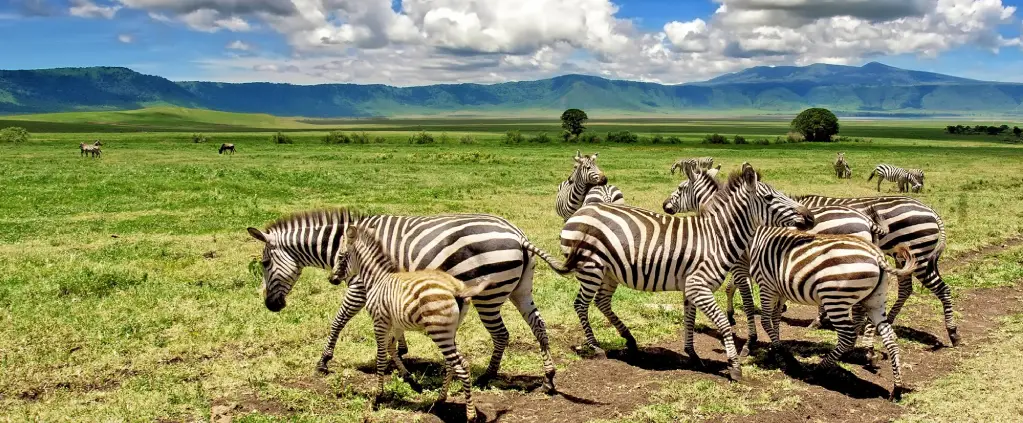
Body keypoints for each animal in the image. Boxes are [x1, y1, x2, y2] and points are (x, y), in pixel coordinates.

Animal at [243, 205, 572, 391]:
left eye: (264, 263)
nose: (271, 306)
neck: (346, 244)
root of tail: (518, 235)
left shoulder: (359, 285)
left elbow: (338, 320)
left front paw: (323, 361)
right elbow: (393, 325)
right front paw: (401, 351)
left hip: (488, 295)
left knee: (502, 334)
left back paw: (487, 377)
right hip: (520, 289)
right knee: (538, 325)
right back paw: (549, 377)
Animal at [327, 224, 486, 417]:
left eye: (340, 256)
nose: (331, 279)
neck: (378, 279)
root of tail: (456, 288)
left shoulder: (379, 322)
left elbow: (381, 357)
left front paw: (377, 398)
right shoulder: (396, 324)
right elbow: (391, 348)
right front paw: (412, 381)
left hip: (439, 331)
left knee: (461, 366)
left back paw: (470, 414)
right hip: (449, 330)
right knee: (451, 363)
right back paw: (440, 399)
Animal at [556, 162, 810, 381]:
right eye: (769, 198)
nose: (809, 216)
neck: (716, 237)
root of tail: (580, 212)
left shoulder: (691, 287)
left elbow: (689, 319)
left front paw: (693, 355)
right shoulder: (699, 285)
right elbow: (723, 322)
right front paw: (735, 366)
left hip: (609, 272)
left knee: (602, 301)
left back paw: (629, 340)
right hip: (591, 268)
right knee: (581, 304)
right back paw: (596, 347)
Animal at [736, 225, 920, 397]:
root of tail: (877, 255)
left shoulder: (767, 285)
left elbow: (766, 321)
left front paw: (782, 354)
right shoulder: (779, 290)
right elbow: (775, 318)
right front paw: (776, 349)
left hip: (835, 299)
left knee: (847, 336)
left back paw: (818, 370)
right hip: (875, 301)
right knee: (890, 338)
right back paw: (897, 388)